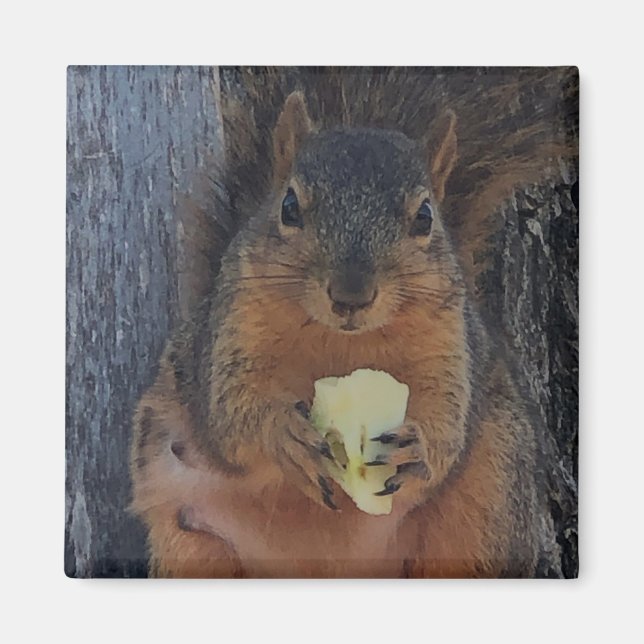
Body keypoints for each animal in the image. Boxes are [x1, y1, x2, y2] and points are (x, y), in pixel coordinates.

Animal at [130, 67, 578, 578]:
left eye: (425, 217)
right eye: (288, 207)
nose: (350, 296)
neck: (342, 344)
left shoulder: (449, 345)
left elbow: (448, 420)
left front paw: (420, 446)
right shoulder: (230, 333)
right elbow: (230, 413)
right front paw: (283, 434)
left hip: (487, 502)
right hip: (188, 537)